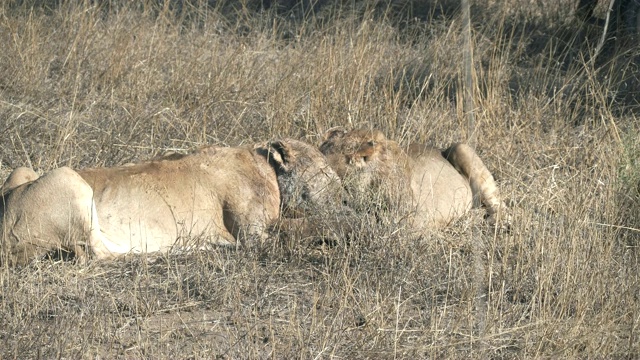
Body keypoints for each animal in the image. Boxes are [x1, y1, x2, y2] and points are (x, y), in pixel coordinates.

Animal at [0, 139, 348, 266]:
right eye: (325, 170)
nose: (344, 195)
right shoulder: (256, 236)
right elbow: (309, 225)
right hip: (68, 178)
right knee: (95, 254)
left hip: (22, 170)